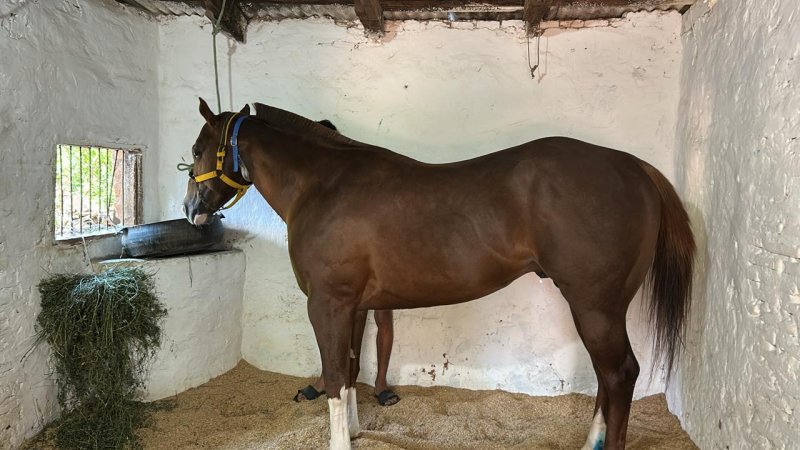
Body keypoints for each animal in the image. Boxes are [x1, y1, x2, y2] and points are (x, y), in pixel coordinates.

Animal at [183, 98, 695, 450]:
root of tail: (635, 167)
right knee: (607, 377)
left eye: (197, 148)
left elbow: (333, 373)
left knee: (620, 374)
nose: (191, 210)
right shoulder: (352, 306)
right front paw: (356, 430)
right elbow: (349, 369)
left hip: (595, 305)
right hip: (597, 308)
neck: (322, 184)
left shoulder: (326, 303)